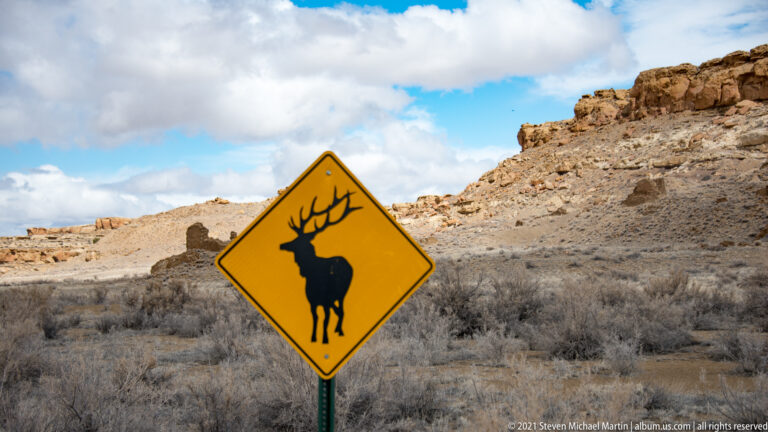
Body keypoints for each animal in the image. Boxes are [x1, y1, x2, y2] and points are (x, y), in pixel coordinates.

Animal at [279, 187, 362, 344]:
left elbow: (325, 319)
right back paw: (338, 329)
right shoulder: (313, 301)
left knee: (340, 311)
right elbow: (316, 318)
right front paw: (313, 337)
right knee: (340, 311)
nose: (282, 245)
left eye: (295, 241)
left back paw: (338, 330)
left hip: (340, 294)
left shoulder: (324, 301)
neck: (309, 269)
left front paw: (324, 339)